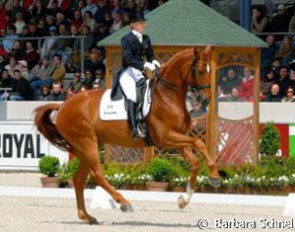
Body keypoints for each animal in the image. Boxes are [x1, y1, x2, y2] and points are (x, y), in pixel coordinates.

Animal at [34, 46, 220, 224]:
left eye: (210, 70)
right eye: (201, 71)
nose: (205, 100)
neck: (167, 96)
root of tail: (63, 105)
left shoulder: (174, 140)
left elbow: (195, 162)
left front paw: (185, 199)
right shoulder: (165, 137)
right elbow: (199, 142)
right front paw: (215, 176)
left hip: (85, 147)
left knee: (79, 179)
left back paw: (87, 217)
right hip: (87, 144)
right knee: (97, 175)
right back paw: (124, 203)